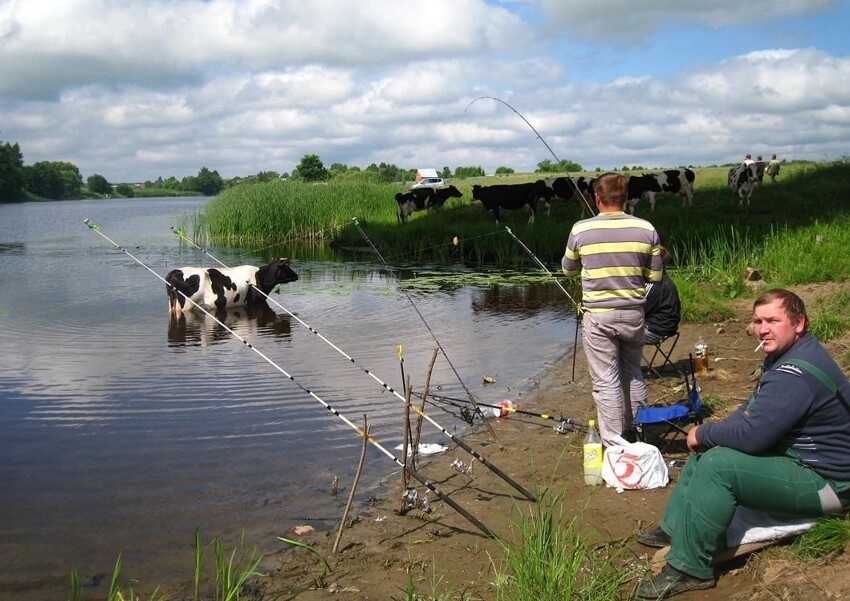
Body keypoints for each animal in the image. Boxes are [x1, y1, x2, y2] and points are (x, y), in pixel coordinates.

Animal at [166, 256, 298, 312]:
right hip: (186, 305)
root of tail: (174, 272)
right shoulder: (254, 302)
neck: (260, 277)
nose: (297, 275)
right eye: (287, 266)